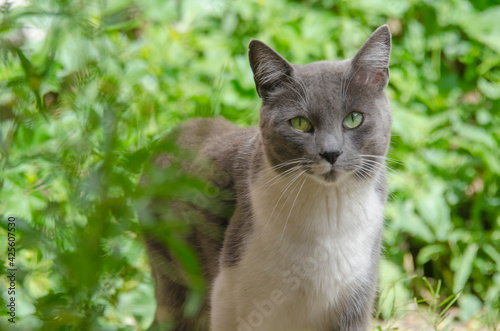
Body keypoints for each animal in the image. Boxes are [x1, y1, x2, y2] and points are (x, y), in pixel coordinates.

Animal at [140, 24, 390, 331]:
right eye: (300, 123)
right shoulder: (230, 295)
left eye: (354, 119)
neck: (328, 216)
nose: (331, 152)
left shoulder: (355, 298)